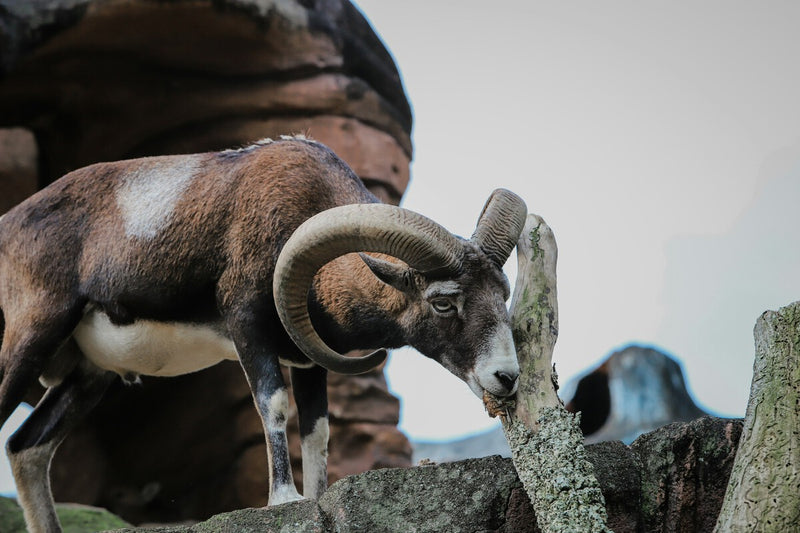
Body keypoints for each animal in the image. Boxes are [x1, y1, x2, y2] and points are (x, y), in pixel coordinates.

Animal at [0, 136, 527, 533]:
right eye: (443, 302)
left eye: (502, 293)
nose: (506, 377)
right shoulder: (248, 329)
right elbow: (272, 405)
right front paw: (284, 499)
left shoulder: (312, 362)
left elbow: (317, 430)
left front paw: (313, 497)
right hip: (30, 339)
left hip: (89, 377)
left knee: (26, 448)